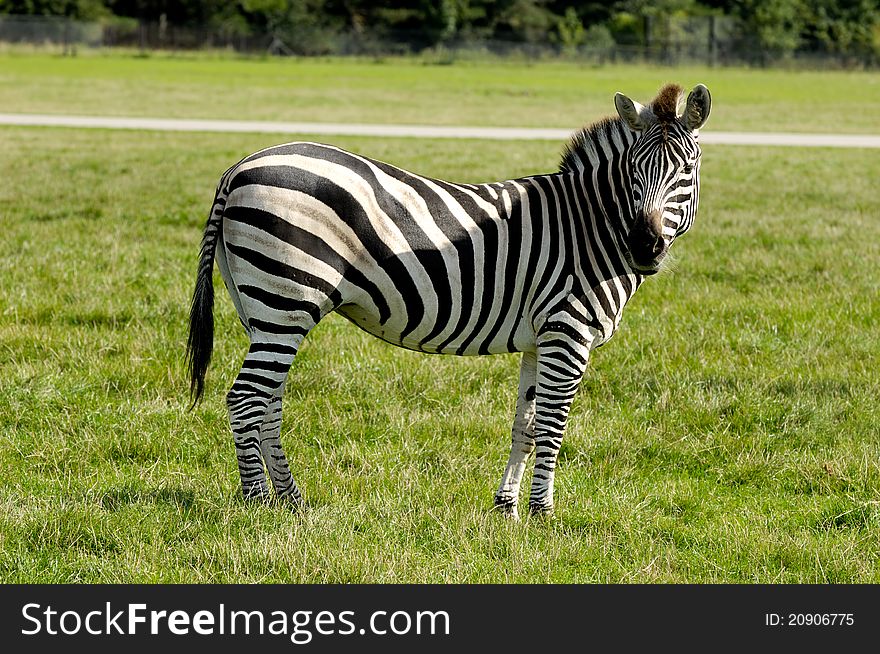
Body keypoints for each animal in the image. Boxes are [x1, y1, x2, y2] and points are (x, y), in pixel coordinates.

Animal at [184, 83, 708, 524]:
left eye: (685, 171)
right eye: (634, 171)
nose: (644, 246)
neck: (590, 228)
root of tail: (240, 167)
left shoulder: (540, 339)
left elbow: (525, 426)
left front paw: (507, 510)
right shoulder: (568, 332)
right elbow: (552, 428)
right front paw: (543, 515)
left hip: (264, 310)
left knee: (268, 400)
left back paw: (292, 500)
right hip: (285, 301)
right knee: (247, 398)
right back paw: (258, 506)